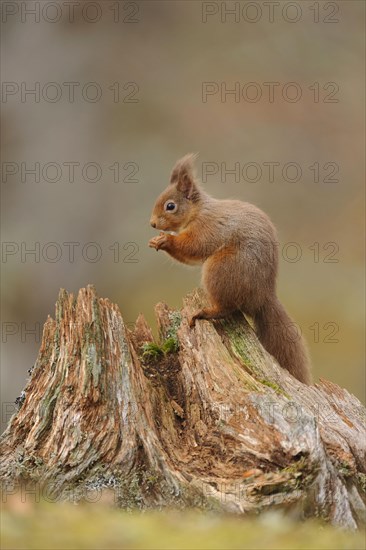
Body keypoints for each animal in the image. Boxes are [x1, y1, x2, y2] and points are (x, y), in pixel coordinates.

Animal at [149, 154, 312, 384]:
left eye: (170, 206)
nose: (153, 224)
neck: (198, 211)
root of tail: (263, 296)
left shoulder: (207, 228)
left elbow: (194, 246)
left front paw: (166, 240)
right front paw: (156, 241)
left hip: (221, 269)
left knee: (227, 307)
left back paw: (204, 312)